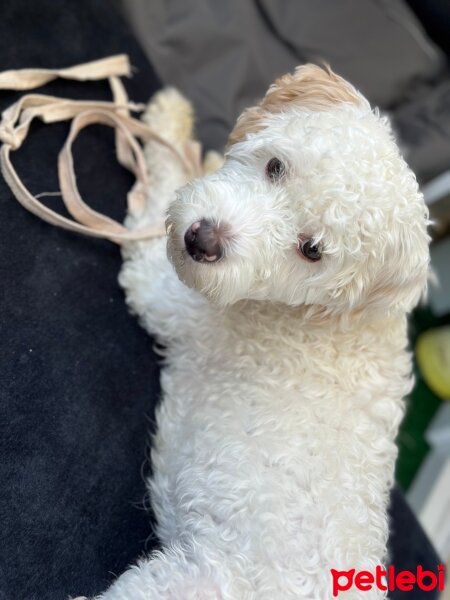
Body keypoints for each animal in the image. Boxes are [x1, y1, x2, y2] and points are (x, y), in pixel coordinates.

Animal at [83, 63, 428, 596]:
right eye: (275, 167)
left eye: (311, 250)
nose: (202, 240)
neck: (328, 320)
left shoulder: (166, 294)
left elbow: (156, 195)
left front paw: (168, 121)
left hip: (180, 582)